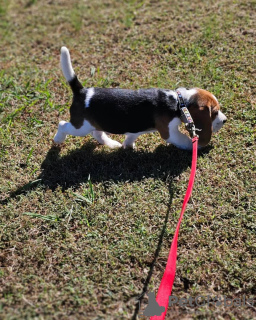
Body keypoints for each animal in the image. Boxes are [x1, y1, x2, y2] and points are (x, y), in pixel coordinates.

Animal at [53, 46, 226, 150]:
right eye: (214, 113)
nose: (225, 120)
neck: (178, 102)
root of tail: (82, 92)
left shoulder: (136, 128)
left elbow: (131, 136)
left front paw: (127, 146)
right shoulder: (169, 132)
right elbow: (182, 140)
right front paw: (194, 146)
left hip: (94, 124)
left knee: (97, 133)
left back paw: (112, 144)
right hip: (80, 127)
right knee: (63, 125)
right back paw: (58, 139)